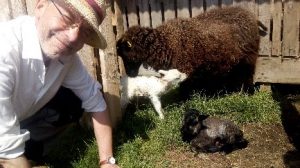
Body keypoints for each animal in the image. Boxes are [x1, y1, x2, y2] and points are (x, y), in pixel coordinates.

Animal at [117, 6, 260, 96]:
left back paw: (247, 92)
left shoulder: (185, 69)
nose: (130, 74)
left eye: (125, 53)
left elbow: (184, 86)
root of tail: (248, 13)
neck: (166, 42)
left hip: (248, 58)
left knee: (247, 75)